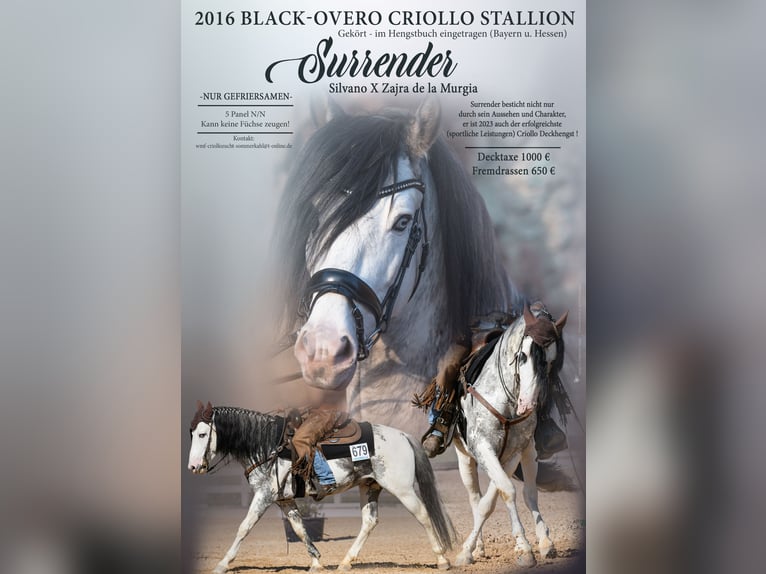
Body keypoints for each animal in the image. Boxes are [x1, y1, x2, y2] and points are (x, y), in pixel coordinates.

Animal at [187, 401, 455, 573]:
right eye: (192, 433)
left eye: (202, 434)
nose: (193, 466)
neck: (267, 446)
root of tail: (402, 436)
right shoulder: (284, 500)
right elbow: (299, 529)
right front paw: (316, 562)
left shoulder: (264, 495)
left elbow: (244, 527)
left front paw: (222, 564)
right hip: (370, 486)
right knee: (369, 522)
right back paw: (345, 562)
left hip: (402, 489)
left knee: (423, 515)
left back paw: (442, 559)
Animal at [452, 303, 568, 567]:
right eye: (522, 355)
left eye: (551, 361)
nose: (528, 405)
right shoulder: (482, 447)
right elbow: (500, 493)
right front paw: (468, 551)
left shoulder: (514, 452)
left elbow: (499, 495)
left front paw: (526, 546)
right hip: (464, 457)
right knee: (474, 497)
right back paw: (478, 547)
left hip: (529, 453)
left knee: (529, 494)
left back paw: (545, 542)